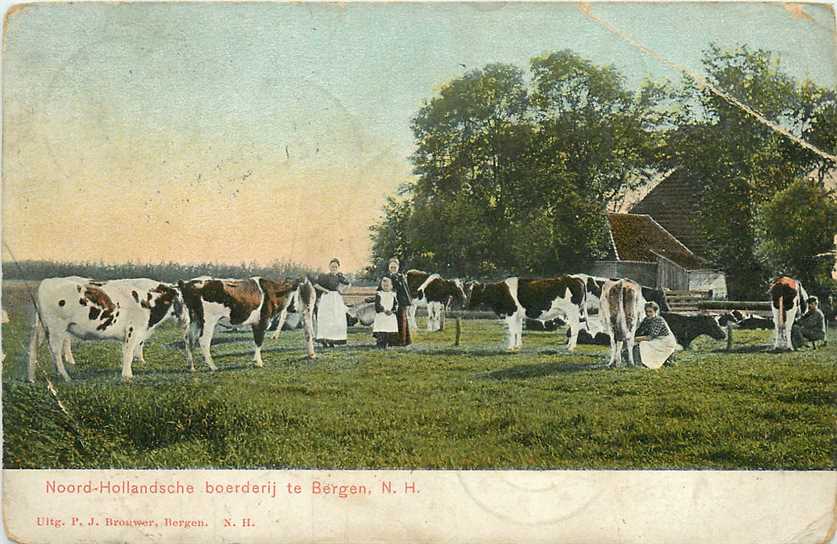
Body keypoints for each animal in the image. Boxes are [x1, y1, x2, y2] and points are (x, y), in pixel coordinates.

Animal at [29, 276, 188, 382]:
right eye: (183, 301)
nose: (187, 321)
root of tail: (47, 281)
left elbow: (135, 348)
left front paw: (138, 363)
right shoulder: (133, 330)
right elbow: (128, 353)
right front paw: (127, 376)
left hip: (42, 327)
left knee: (33, 348)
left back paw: (31, 378)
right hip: (56, 327)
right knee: (55, 350)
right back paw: (65, 376)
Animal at [178, 276, 316, 370]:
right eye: (301, 292)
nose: (309, 306)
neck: (274, 292)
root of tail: (187, 284)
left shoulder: (256, 323)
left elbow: (257, 342)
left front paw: (256, 360)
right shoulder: (262, 321)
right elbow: (259, 341)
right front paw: (258, 362)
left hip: (194, 320)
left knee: (188, 339)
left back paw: (191, 366)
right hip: (208, 321)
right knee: (203, 341)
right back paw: (212, 366)